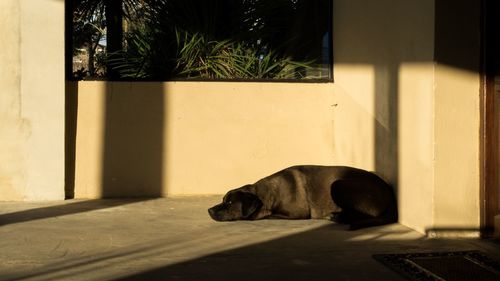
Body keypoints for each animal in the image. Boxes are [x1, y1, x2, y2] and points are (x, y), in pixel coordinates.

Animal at [207, 165, 398, 229]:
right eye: (223, 200)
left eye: (229, 202)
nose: (209, 210)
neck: (266, 193)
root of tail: (389, 192)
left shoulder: (296, 213)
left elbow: (268, 215)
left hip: (337, 184)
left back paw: (338, 216)